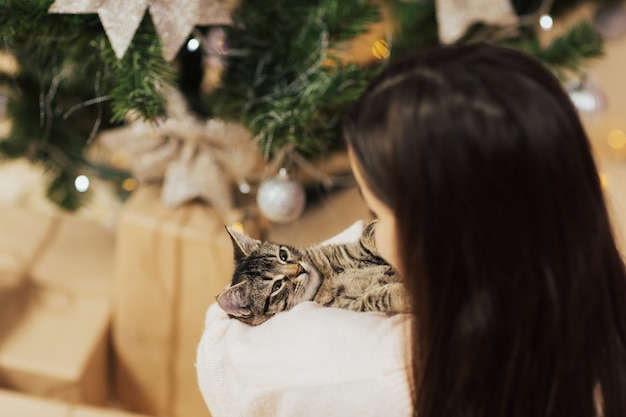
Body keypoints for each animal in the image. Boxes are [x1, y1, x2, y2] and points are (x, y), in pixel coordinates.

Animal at [217, 221, 412, 324]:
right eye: (276, 286)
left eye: (283, 255)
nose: (300, 268)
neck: (326, 276)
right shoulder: (352, 305)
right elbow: (376, 297)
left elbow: (369, 233)